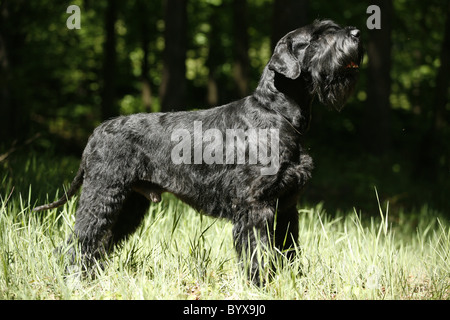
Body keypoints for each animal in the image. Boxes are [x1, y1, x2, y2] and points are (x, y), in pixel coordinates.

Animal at [37, 19, 364, 282]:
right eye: (317, 37)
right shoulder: (255, 205)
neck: (278, 114)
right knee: (81, 238)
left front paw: (291, 282)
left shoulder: (286, 205)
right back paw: (74, 279)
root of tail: (96, 132)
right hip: (104, 193)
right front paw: (261, 284)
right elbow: (257, 250)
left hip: (129, 202)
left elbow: (288, 249)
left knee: (99, 241)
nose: (357, 33)